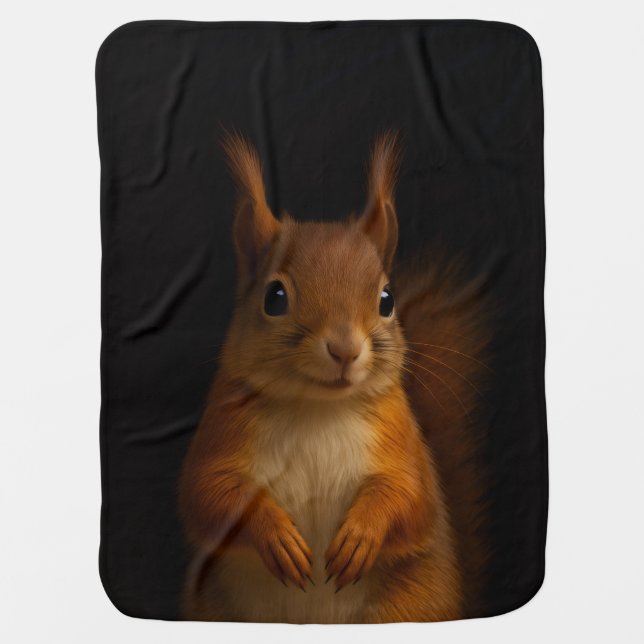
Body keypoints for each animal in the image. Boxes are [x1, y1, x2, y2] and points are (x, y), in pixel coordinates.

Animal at [178, 132, 489, 623]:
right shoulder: (224, 428)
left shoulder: (402, 441)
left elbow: (410, 497)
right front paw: (276, 536)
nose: (345, 349)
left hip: (407, 606)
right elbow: (209, 493)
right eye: (275, 297)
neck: (316, 408)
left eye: (387, 299)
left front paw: (361, 535)